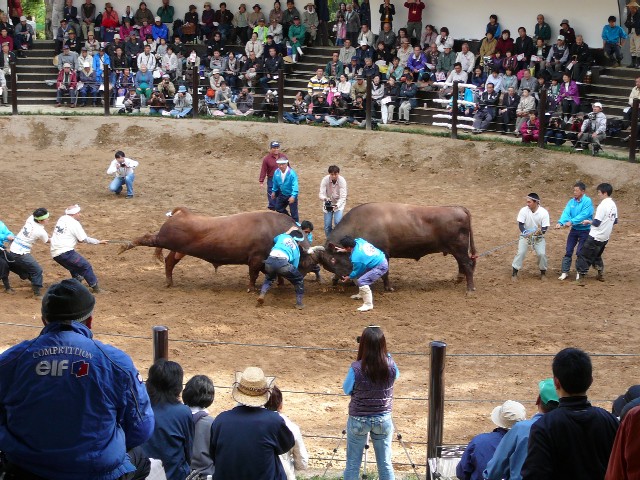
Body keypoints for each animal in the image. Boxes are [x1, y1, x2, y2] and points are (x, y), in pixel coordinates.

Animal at [121, 206, 314, 288]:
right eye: (306, 262)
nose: (300, 279)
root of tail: (183, 213)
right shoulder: (256, 259)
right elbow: (253, 275)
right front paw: (252, 288)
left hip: (179, 249)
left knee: (169, 261)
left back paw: (169, 282)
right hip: (164, 239)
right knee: (147, 238)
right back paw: (125, 245)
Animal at [308, 201, 478, 290]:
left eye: (333, 260)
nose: (344, 278)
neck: (360, 225)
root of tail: (459, 208)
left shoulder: (384, 253)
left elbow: (386, 272)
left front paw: (388, 288)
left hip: (459, 248)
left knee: (467, 264)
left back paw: (470, 289)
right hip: (456, 249)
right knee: (462, 264)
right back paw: (459, 280)